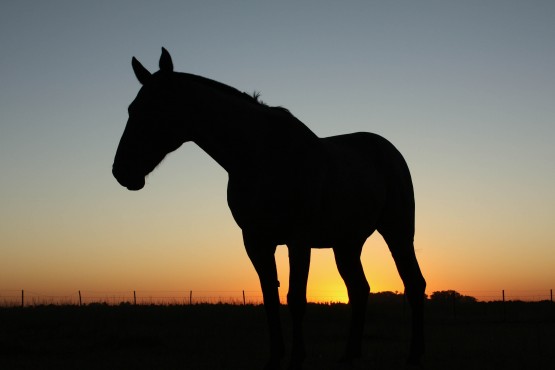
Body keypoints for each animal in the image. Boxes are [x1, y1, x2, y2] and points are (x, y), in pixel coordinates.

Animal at [112, 49, 426, 370]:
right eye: (131, 109)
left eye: (155, 109)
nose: (122, 172)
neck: (262, 156)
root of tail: (388, 150)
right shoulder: (256, 241)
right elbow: (270, 300)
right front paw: (275, 358)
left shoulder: (298, 240)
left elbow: (296, 299)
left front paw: (297, 360)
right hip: (346, 244)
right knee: (359, 290)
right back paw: (349, 355)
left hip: (398, 233)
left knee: (414, 284)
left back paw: (414, 355)